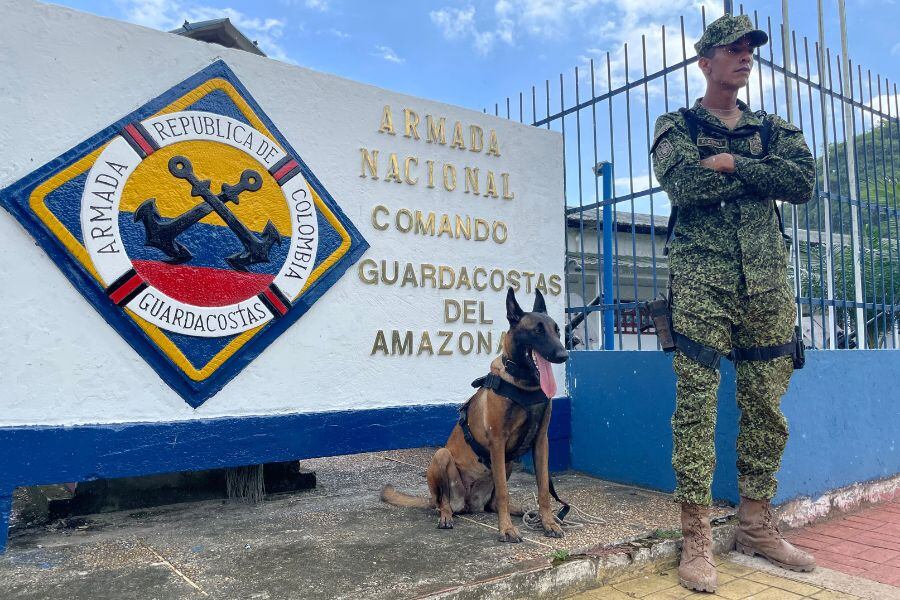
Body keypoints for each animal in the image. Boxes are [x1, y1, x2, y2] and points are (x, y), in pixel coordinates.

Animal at [382, 288, 568, 540]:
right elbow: (503, 491)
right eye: (537, 331)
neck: (523, 384)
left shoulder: (541, 442)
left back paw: (518, 510)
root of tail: (469, 504)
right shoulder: (497, 442)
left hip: (508, 462)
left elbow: (543, 489)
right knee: (443, 502)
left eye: (557, 330)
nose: (564, 354)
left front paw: (548, 522)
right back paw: (446, 515)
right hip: (443, 457)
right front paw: (506, 529)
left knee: (491, 504)